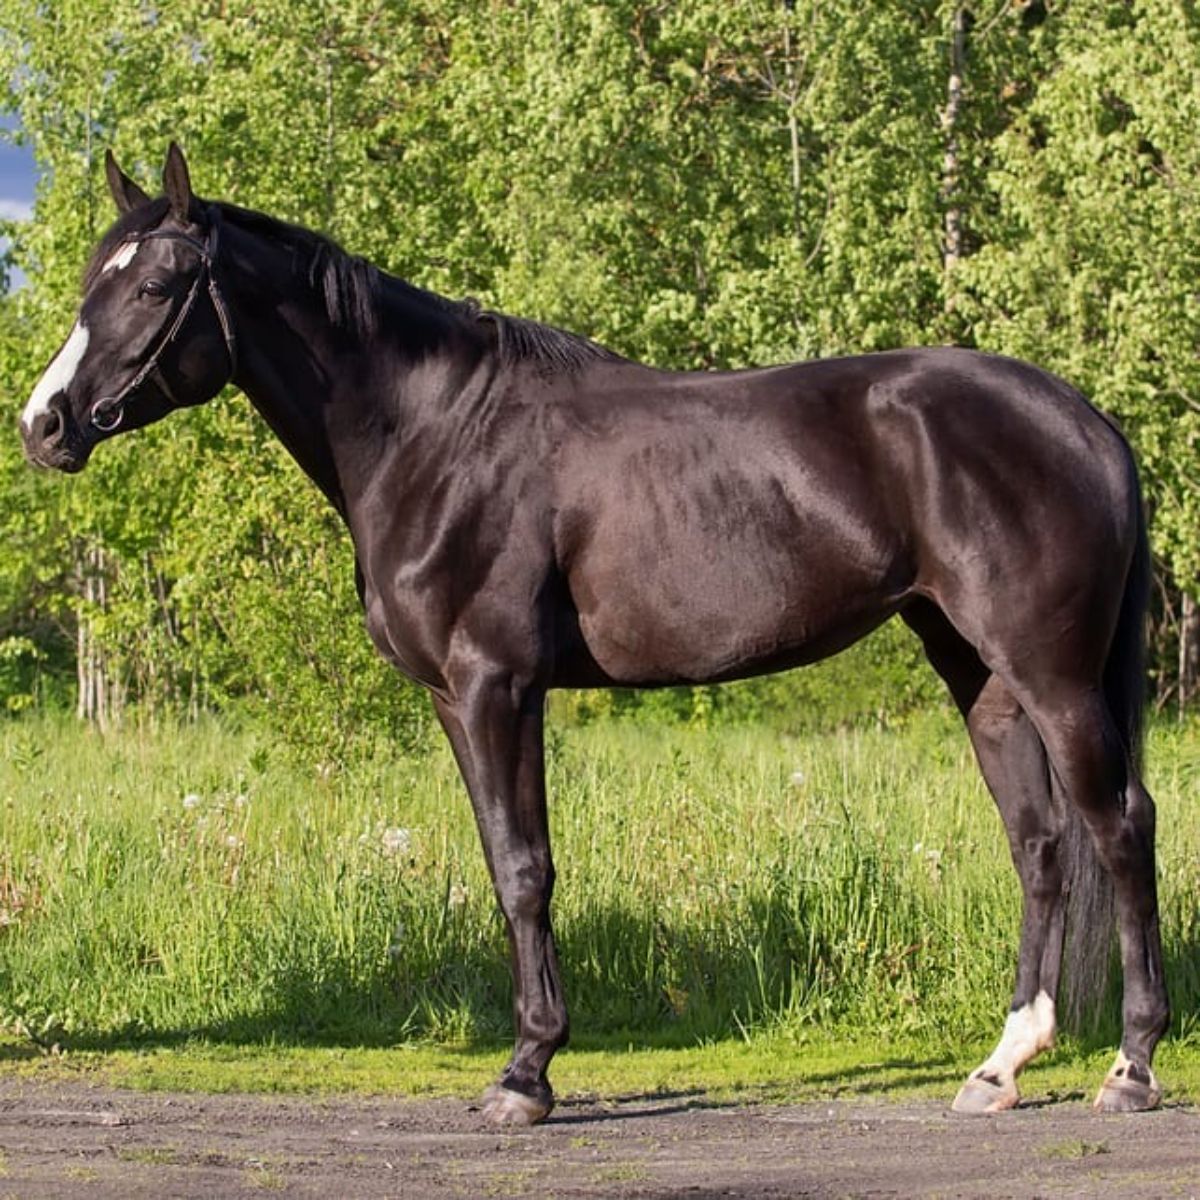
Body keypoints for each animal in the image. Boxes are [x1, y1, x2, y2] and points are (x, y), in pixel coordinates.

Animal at [16, 142, 1171, 1123]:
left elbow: (527, 870)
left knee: (1118, 827)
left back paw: (1130, 1066)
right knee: (1040, 844)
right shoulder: (454, 699)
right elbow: (502, 864)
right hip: (980, 673)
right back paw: (1001, 1067)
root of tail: (1089, 423)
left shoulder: (498, 685)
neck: (436, 437)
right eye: (89, 284)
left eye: (153, 288)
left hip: (1053, 674)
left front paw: (526, 1074)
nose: (44, 425)